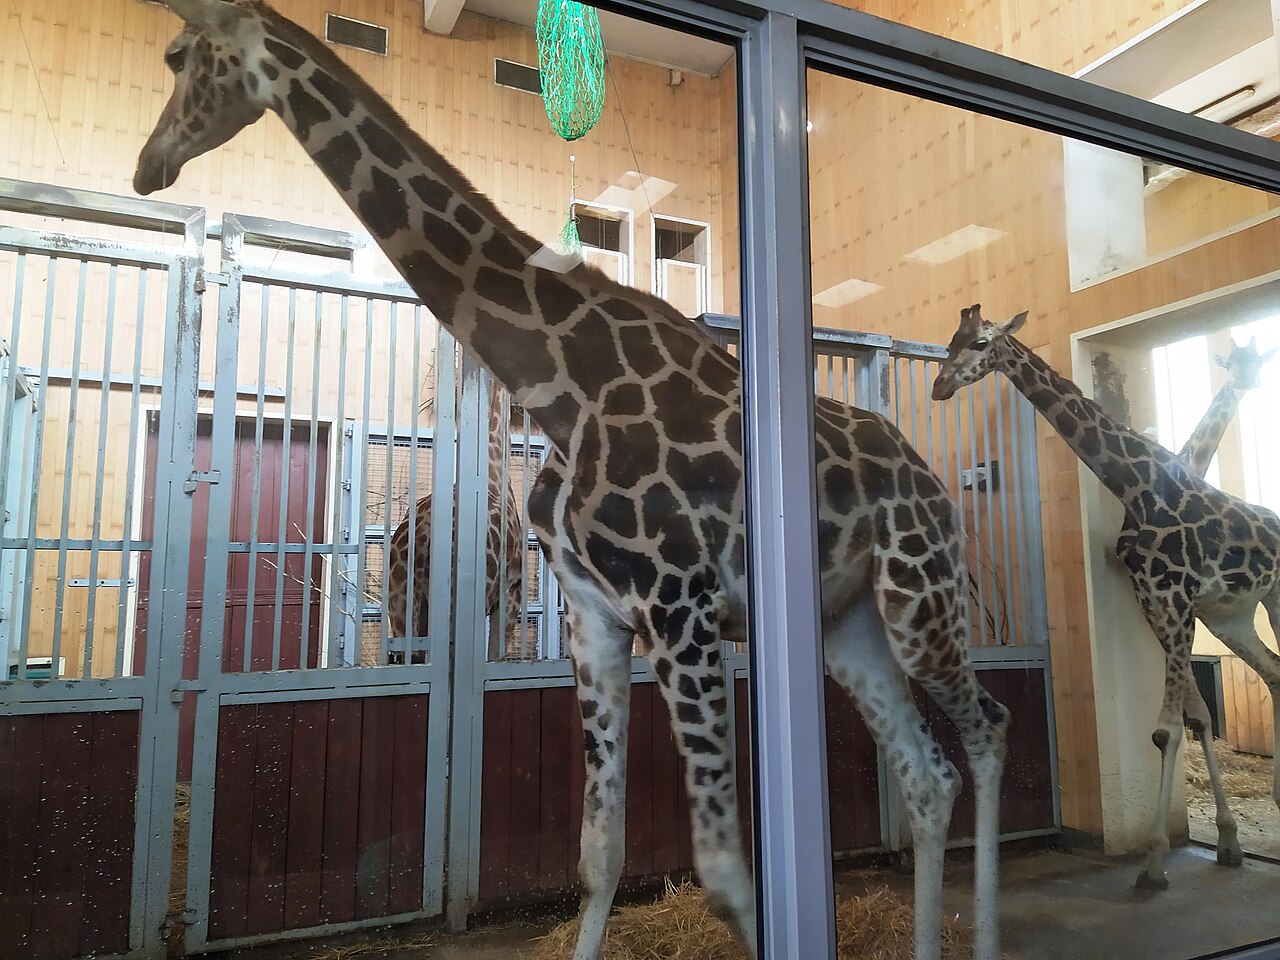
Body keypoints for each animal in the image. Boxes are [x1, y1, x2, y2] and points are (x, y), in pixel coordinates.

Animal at [933, 304, 1280, 890]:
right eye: (949, 342)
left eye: (981, 343)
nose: (938, 386)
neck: (1137, 485)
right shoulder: (1158, 602)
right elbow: (1191, 720)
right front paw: (1225, 843)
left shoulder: (1175, 599)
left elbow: (1171, 728)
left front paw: (1155, 862)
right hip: (1233, 617)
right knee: (1275, 673)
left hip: (1269, 598)